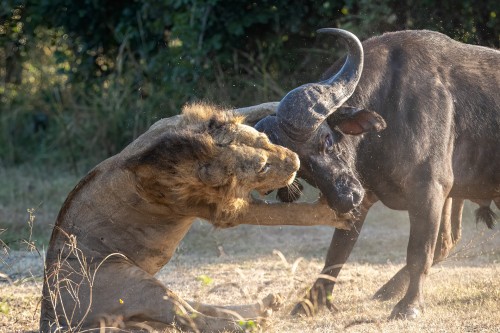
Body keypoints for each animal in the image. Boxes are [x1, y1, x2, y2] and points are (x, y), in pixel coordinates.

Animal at [40, 102, 348, 330]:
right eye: (262, 167)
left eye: (264, 139)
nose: (295, 161)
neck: (197, 148)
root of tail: (49, 312)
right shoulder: (218, 209)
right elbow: (291, 213)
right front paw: (334, 212)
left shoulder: (164, 123)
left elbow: (245, 107)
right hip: (130, 278)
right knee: (193, 319)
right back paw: (249, 323)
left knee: (194, 307)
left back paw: (265, 306)